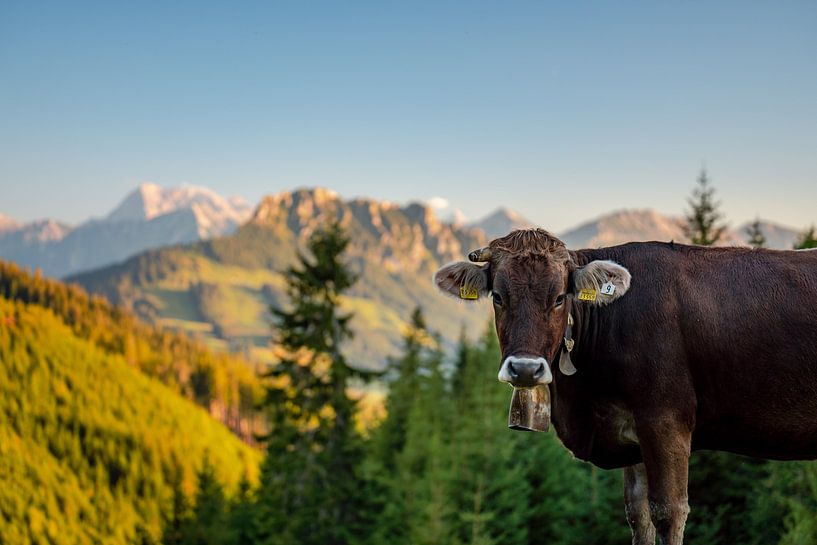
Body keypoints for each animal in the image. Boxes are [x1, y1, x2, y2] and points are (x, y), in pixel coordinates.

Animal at [433, 228, 817, 545]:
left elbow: (668, 513)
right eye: (498, 296)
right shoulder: (632, 431)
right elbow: (639, 516)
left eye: (559, 297)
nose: (525, 368)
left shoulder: (666, 422)